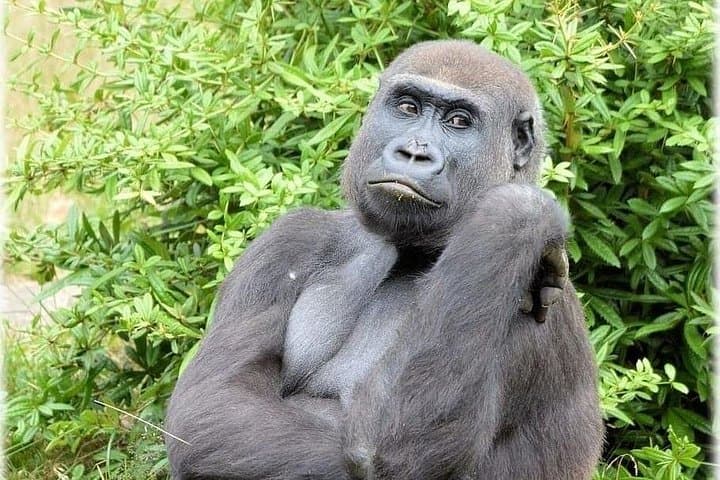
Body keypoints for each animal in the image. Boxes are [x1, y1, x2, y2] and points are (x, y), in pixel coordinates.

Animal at [165, 39, 604, 480]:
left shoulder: (536, 301)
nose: (412, 152)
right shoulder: (290, 239)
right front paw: (525, 212)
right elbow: (216, 401)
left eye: (459, 121)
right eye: (408, 107)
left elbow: (395, 447)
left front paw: (515, 213)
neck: (408, 252)